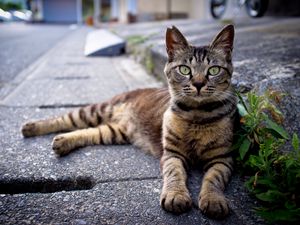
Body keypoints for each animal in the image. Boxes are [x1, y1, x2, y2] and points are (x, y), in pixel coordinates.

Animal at [21, 24, 237, 218]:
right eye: (184, 70)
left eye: (214, 70)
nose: (199, 83)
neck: (197, 116)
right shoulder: (171, 155)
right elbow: (175, 175)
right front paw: (176, 195)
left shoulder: (223, 159)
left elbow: (213, 179)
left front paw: (213, 200)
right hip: (95, 111)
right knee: (64, 118)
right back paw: (31, 127)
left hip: (113, 132)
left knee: (88, 131)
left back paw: (63, 142)